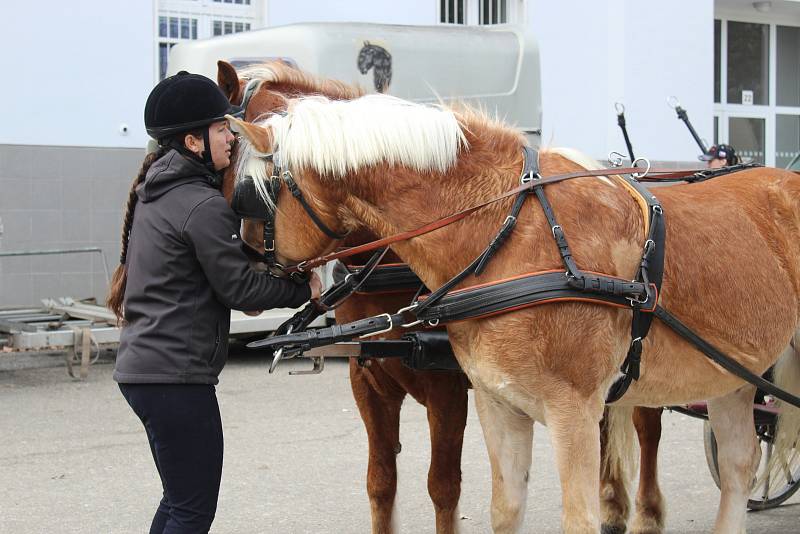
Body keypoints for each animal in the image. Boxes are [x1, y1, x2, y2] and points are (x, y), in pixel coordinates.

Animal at [227, 94, 800, 532]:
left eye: (250, 197)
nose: (242, 258)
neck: (506, 230)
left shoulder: (574, 411)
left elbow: (579, 517)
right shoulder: (497, 402)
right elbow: (504, 510)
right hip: (732, 375)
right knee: (739, 464)